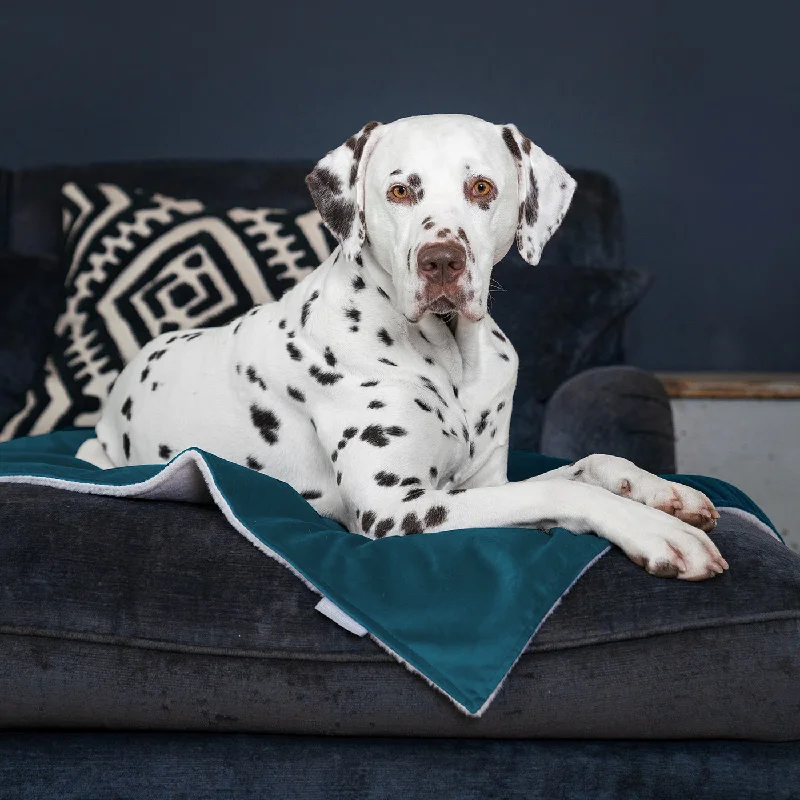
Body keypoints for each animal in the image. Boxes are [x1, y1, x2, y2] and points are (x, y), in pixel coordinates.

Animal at [78, 112, 728, 580]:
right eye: (399, 192)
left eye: (481, 187)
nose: (442, 260)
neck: (449, 359)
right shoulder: (399, 510)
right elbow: (563, 491)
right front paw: (659, 531)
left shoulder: (485, 484)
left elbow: (587, 464)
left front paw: (665, 493)